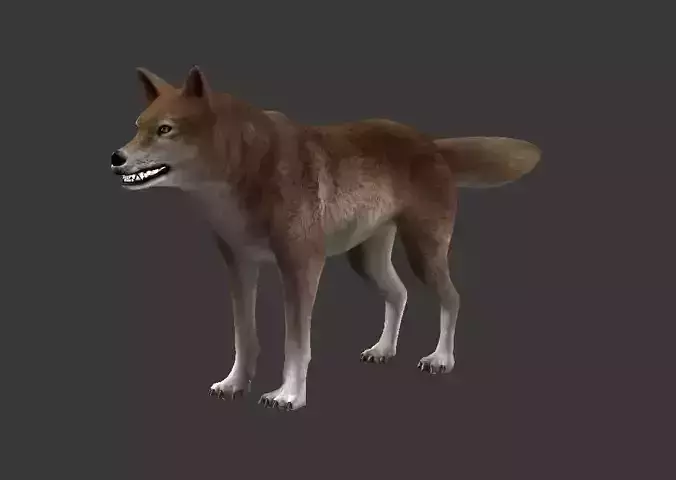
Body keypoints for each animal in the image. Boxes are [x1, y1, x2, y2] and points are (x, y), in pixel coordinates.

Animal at [111, 65, 541, 411]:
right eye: (137, 126)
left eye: (165, 130)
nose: (116, 157)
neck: (242, 171)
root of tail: (430, 142)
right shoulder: (239, 266)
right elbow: (244, 335)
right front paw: (234, 385)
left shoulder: (301, 267)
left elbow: (296, 342)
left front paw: (288, 396)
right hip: (365, 260)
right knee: (399, 292)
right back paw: (383, 350)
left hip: (422, 252)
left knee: (451, 297)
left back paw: (440, 360)